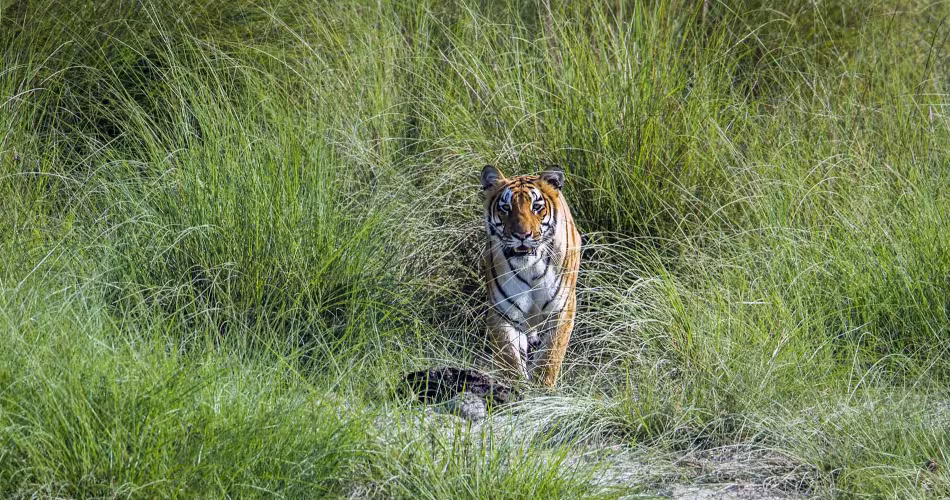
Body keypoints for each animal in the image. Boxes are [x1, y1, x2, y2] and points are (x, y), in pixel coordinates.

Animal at [480, 164, 581, 387]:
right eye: (505, 208)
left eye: (536, 206)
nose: (522, 235)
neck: (530, 268)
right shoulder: (503, 313)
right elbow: (509, 358)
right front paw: (515, 387)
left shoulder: (562, 309)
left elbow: (550, 357)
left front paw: (543, 389)